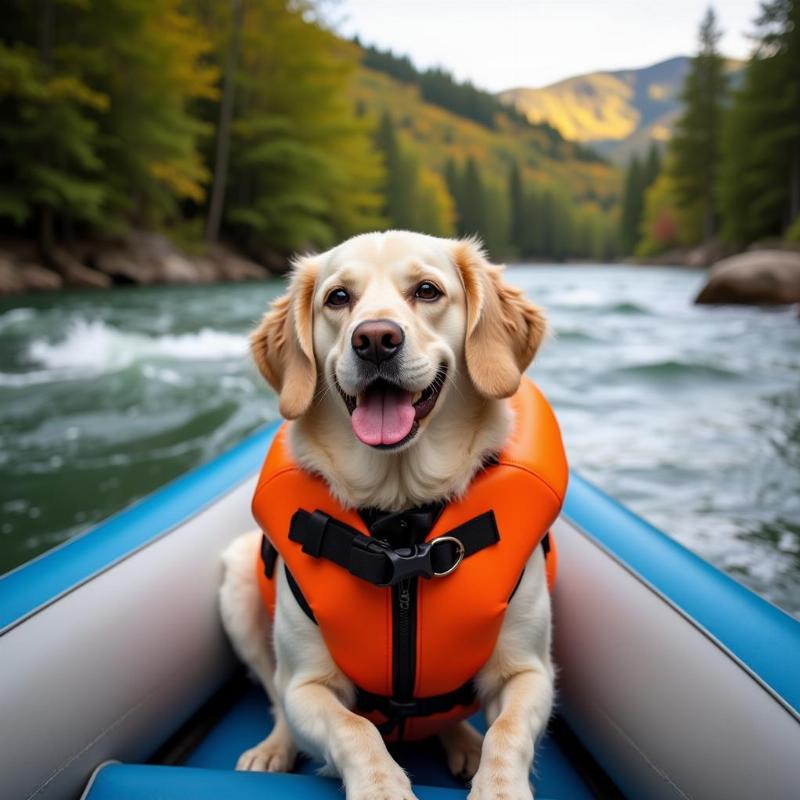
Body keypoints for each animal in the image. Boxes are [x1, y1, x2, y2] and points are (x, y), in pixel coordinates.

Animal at [220, 231, 556, 800]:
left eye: (427, 290)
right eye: (337, 298)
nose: (375, 339)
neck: (401, 523)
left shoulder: (531, 672)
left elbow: (507, 733)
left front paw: (498, 787)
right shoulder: (307, 685)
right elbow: (353, 728)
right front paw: (382, 788)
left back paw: (463, 742)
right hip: (239, 583)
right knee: (274, 694)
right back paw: (272, 749)